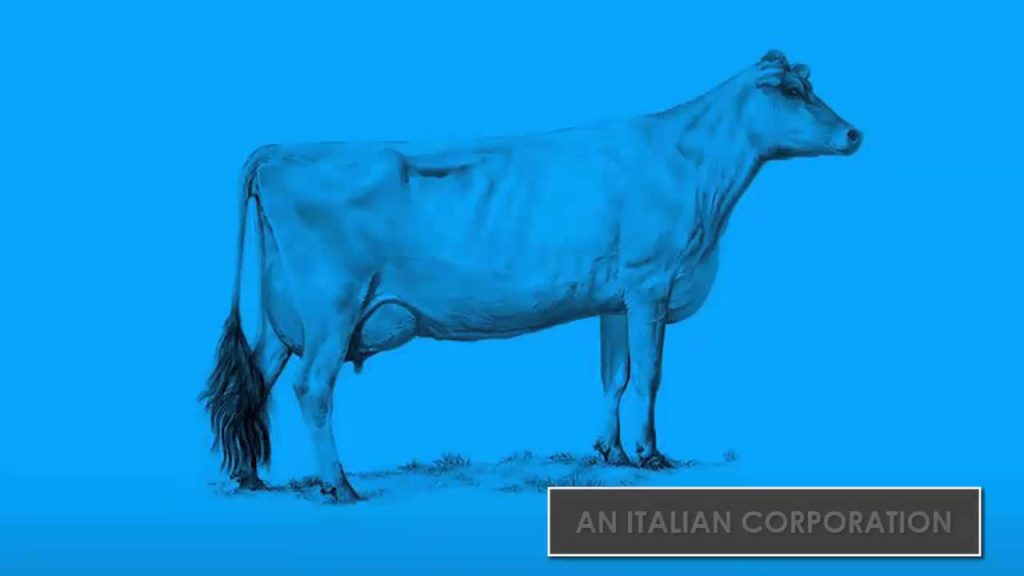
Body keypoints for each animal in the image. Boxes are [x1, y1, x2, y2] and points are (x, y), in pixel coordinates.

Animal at [201, 50, 862, 503]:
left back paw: (251, 478)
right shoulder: (651, 284)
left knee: (256, 378)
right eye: (793, 90)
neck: (694, 169)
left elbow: (615, 377)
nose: (854, 132)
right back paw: (338, 485)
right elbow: (649, 377)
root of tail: (281, 150)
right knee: (311, 387)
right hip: (331, 307)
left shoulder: (615, 298)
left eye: (811, 86)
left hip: (285, 316)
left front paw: (610, 452)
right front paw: (651, 455)